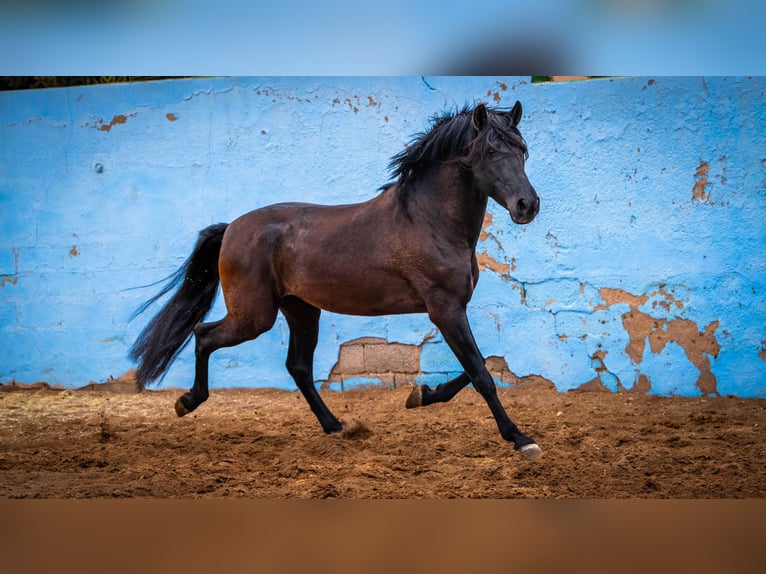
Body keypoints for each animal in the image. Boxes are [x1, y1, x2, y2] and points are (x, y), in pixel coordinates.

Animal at [129, 101, 544, 462]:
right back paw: (187, 402)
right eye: (490, 152)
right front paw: (521, 438)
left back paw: (335, 425)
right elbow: (481, 373)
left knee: (298, 367)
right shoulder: (445, 309)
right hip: (254, 317)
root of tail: (231, 228)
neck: (429, 221)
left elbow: (479, 365)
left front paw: (421, 394)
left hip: (300, 310)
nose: (528, 205)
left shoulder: (451, 311)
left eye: (522, 151)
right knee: (204, 335)